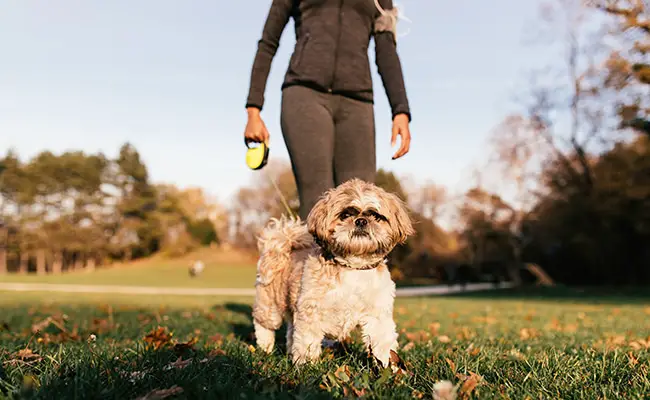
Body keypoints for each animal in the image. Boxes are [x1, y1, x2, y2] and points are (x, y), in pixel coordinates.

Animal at [251, 180, 412, 370]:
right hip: (271, 307)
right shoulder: (311, 312)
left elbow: (383, 343)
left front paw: (389, 367)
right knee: (264, 324)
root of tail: (284, 246)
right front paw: (307, 367)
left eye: (375, 215)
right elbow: (307, 342)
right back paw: (265, 347)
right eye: (345, 215)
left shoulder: (378, 315)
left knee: (291, 331)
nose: (361, 221)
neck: (353, 267)